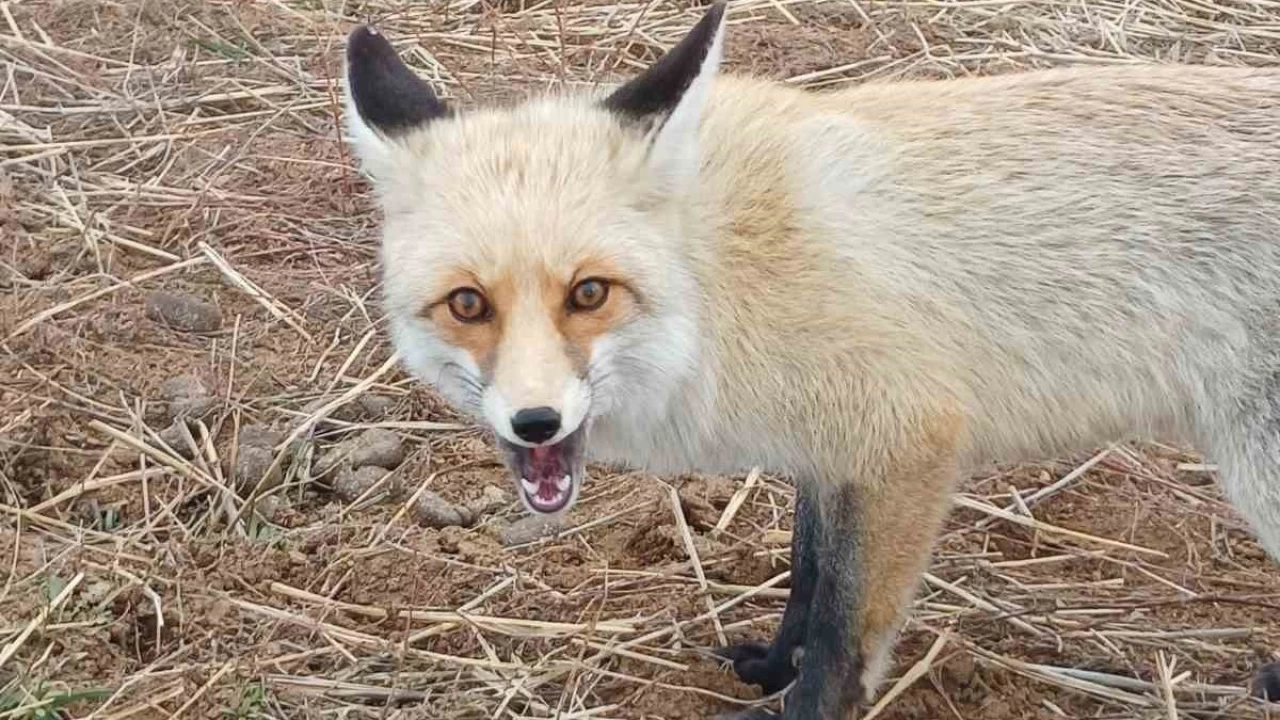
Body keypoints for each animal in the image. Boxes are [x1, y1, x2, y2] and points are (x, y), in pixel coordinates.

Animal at [340, 2, 1280, 712]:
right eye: (469, 304)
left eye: (589, 293)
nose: (535, 421)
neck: (722, 273)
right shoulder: (830, 449)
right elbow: (806, 574)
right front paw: (774, 665)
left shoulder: (906, 440)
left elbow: (843, 631)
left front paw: (803, 703)